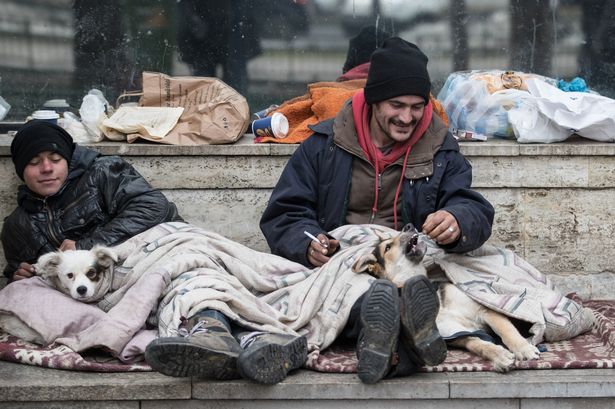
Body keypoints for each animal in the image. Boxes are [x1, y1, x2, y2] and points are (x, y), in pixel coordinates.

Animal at [354, 225, 540, 372]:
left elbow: (507, 332)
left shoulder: (485, 310)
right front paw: (499, 355)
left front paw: (524, 348)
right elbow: (477, 344)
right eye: (387, 247)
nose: (408, 226)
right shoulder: (456, 333)